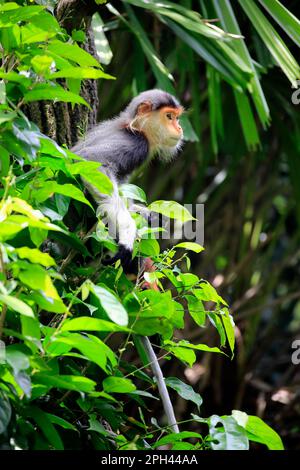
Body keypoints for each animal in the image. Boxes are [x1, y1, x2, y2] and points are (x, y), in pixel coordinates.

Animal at [71, 87, 184, 264]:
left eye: (177, 117)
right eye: (169, 116)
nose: (179, 127)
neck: (135, 128)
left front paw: (145, 212)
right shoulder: (137, 143)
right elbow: (91, 158)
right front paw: (127, 230)